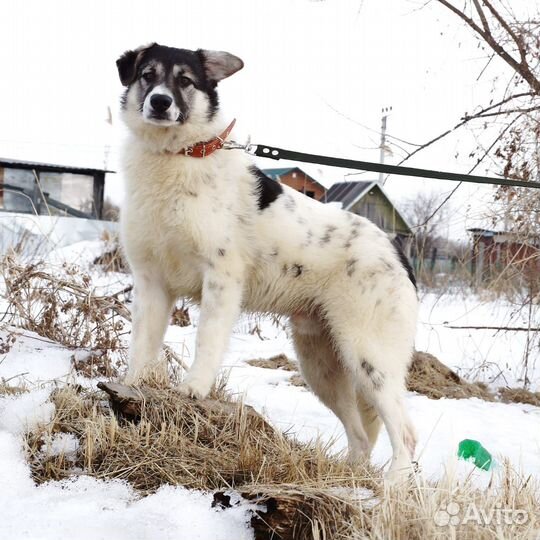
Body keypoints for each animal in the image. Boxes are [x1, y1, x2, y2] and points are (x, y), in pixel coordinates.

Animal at [116, 43, 420, 480]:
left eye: (185, 80)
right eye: (147, 75)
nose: (160, 102)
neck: (178, 154)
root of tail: (397, 251)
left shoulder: (221, 279)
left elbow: (206, 340)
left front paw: (195, 387)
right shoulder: (151, 284)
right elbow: (141, 346)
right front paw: (133, 384)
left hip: (368, 356)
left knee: (405, 434)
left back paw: (393, 488)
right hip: (321, 364)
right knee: (361, 437)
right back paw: (346, 478)